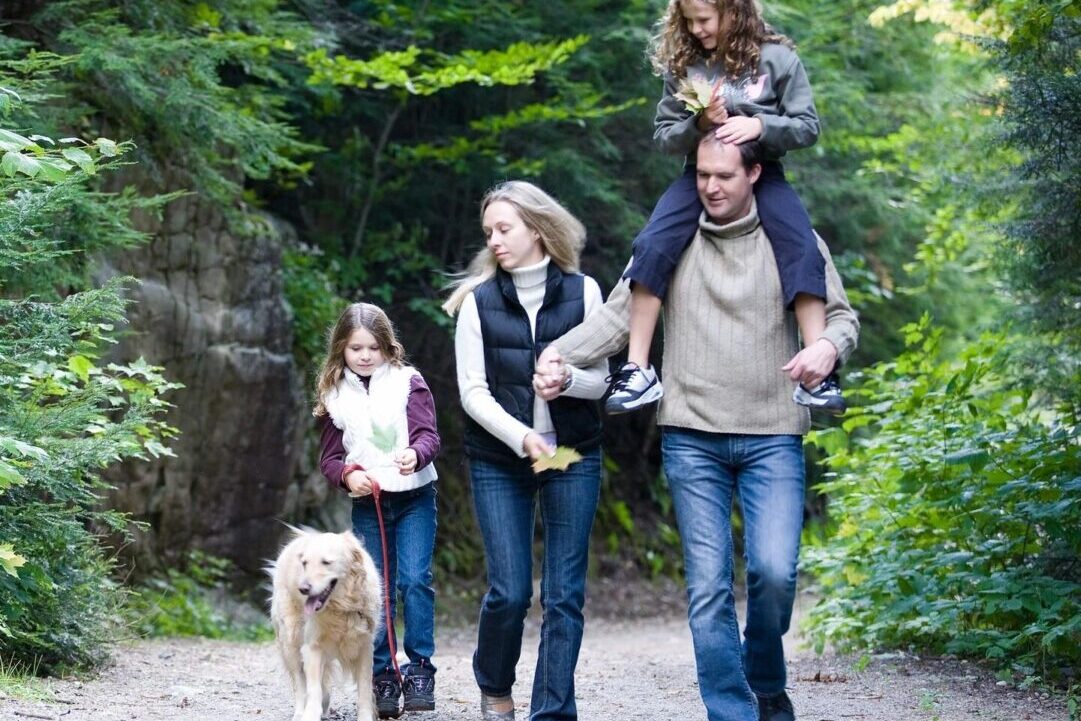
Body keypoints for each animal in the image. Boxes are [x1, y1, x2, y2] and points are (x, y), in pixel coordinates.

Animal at [270, 529, 384, 721]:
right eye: (305, 563)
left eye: (326, 562)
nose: (303, 588)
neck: (342, 609)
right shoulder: (312, 647)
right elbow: (313, 688)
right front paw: (309, 715)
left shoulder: (364, 647)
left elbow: (364, 690)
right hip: (290, 639)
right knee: (300, 683)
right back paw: (300, 712)